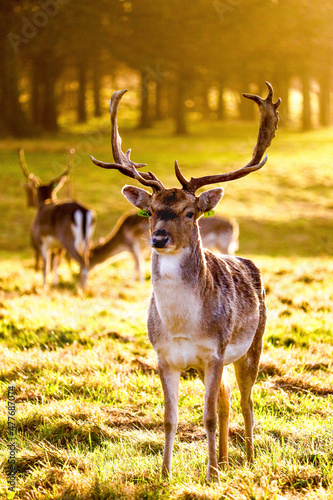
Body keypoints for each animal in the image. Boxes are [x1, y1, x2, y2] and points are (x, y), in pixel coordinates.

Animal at [19, 148, 95, 290]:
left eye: (34, 191)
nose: (30, 203)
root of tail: (83, 210)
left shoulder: (41, 242)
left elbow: (46, 266)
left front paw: (43, 286)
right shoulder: (59, 247)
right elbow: (56, 263)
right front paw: (54, 283)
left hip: (69, 239)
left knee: (82, 261)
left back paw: (82, 288)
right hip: (87, 241)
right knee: (87, 259)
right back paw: (85, 286)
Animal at [89, 211, 239, 282]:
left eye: (89, 256)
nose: (86, 272)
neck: (122, 242)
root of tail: (234, 225)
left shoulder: (135, 245)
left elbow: (138, 266)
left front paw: (135, 283)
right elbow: (137, 266)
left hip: (225, 244)